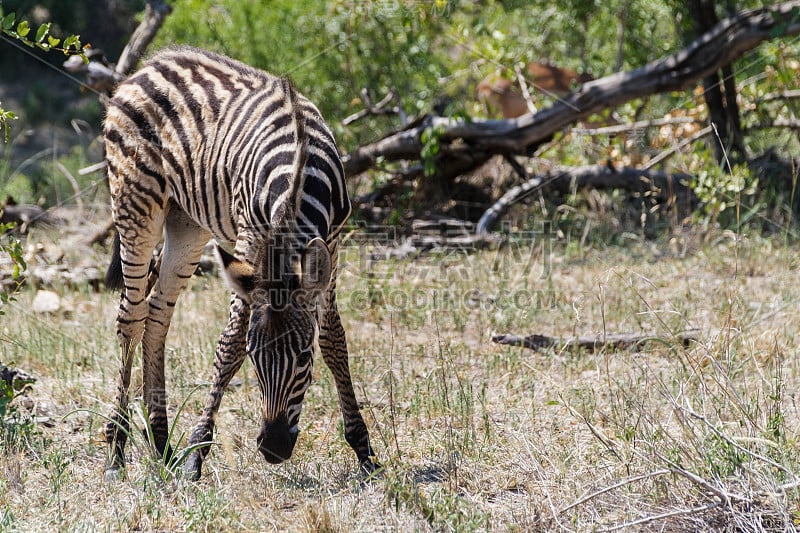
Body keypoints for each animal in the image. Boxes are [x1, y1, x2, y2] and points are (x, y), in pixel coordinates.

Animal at [102, 45, 378, 478]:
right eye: (253, 356)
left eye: (304, 357)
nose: (275, 449)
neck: (298, 176)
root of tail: (152, 62)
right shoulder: (248, 241)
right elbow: (229, 341)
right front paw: (197, 453)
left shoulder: (331, 245)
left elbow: (334, 339)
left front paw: (363, 449)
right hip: (135, 204)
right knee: (130, 318)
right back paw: (117, 450)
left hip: (187, 223)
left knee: (157, 316)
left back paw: (161, 444)